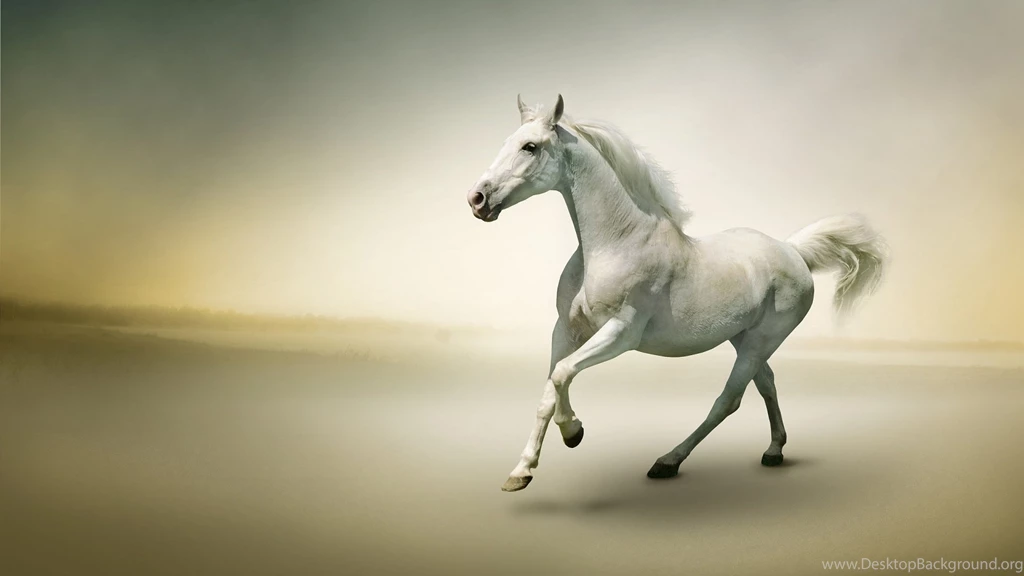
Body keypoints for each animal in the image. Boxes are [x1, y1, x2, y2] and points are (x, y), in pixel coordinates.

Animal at [466, 94, 889, 492]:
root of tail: (793, 251)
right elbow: (549, 388)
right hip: (743, 338)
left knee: (729, 400)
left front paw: (573, 432)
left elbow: (562, 374)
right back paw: (773, 451)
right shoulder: (566, 330)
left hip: (761, 340)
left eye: (530, 147)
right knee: (766, 382)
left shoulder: (621, 334)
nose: (477, 199)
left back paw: (668, 461)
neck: (616, 243)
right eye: (508, 142)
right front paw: (521, 472)